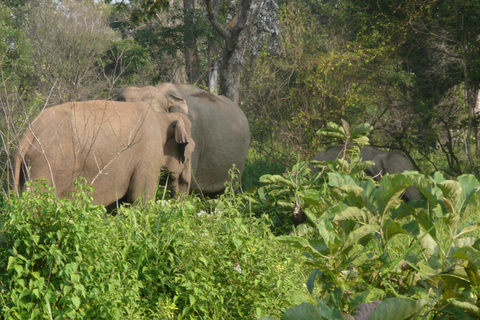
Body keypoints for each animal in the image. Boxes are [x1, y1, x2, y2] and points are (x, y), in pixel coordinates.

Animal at [15, 100, 195, 210]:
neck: (163, 117)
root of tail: (27, 136)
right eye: (191, 151)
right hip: (48, 164)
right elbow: (140, 199)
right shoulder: (149, 152)